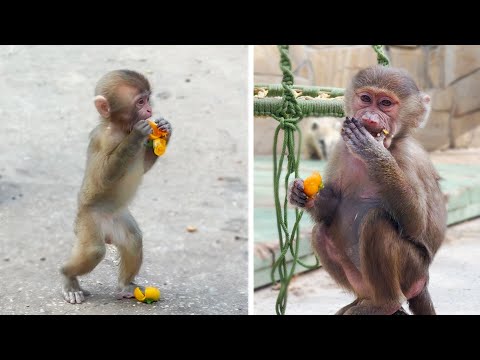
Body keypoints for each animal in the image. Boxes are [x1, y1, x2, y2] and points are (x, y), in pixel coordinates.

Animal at [60, 69, 172, 302]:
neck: (121, 128)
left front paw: (166, 129)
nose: (149, 109)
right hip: (88, 222)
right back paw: (68, 277)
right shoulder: (105, 139)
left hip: (118, 219)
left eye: (148, 98)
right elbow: (102, 178)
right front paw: (136, 136)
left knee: (133, 239)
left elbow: (144, 166)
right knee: (93, 251)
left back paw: (125, 286)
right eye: (140, 102)